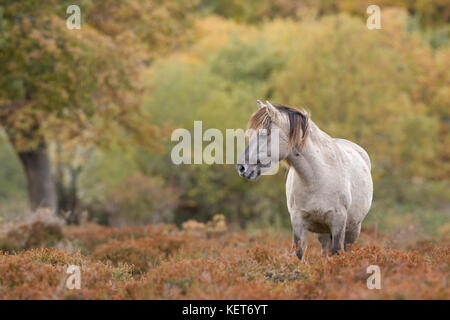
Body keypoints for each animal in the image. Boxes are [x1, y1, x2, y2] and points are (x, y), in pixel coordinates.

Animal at [237, 100, 374, 260]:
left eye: (265, 134)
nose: (241, 168)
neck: (316, 178)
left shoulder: (338, 223)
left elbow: (337, 254)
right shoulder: (298, 222)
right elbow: (298, 254)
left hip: (353, 229)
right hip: (323, 233)